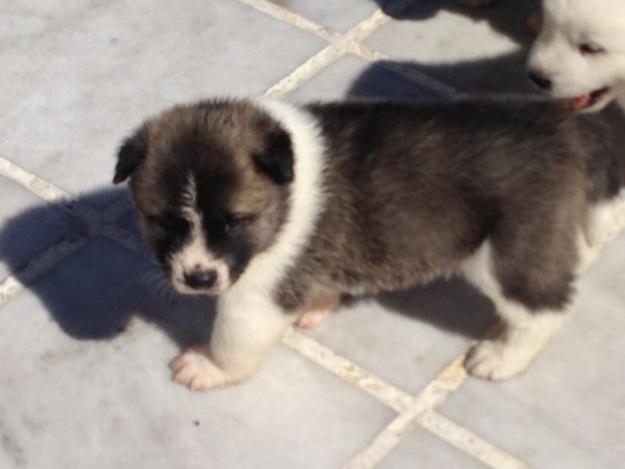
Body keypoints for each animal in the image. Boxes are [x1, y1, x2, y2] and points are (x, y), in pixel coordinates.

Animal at [113, 97, 624, 390]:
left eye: (236, 222)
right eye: (165, 222)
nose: (198, 278)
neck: (285, 192)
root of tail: (564, 132)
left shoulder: (256, 293)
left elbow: (233, 337)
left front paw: (209, 368)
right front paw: (319, 305)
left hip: (507, 251)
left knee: (546, 309)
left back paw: (502, 357)